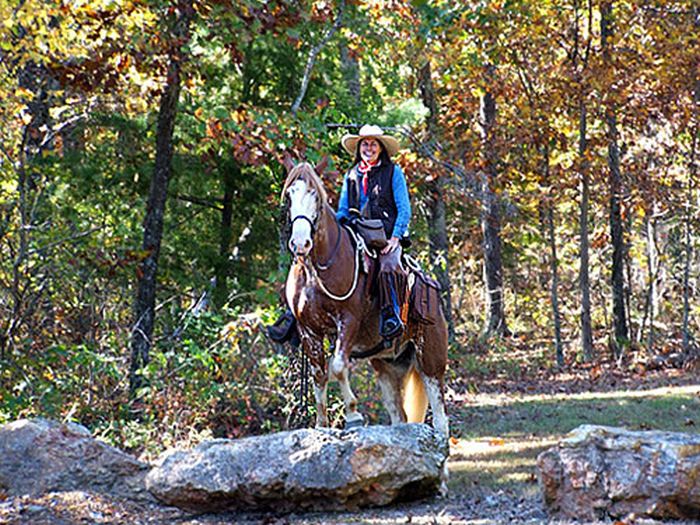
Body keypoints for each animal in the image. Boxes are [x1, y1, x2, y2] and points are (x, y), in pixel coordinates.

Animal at [280, 160, 448, 438]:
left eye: (315, 196)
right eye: (290, 195)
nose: (300, 243)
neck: (318, 269)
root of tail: (432, 288)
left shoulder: (347, 321)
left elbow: (338, 366)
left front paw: (353, 415)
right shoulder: (309, 330)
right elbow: (319, 374)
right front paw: (321, 424)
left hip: (431, 361)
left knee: (441, 420)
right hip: (387, 366)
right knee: (399, 416)